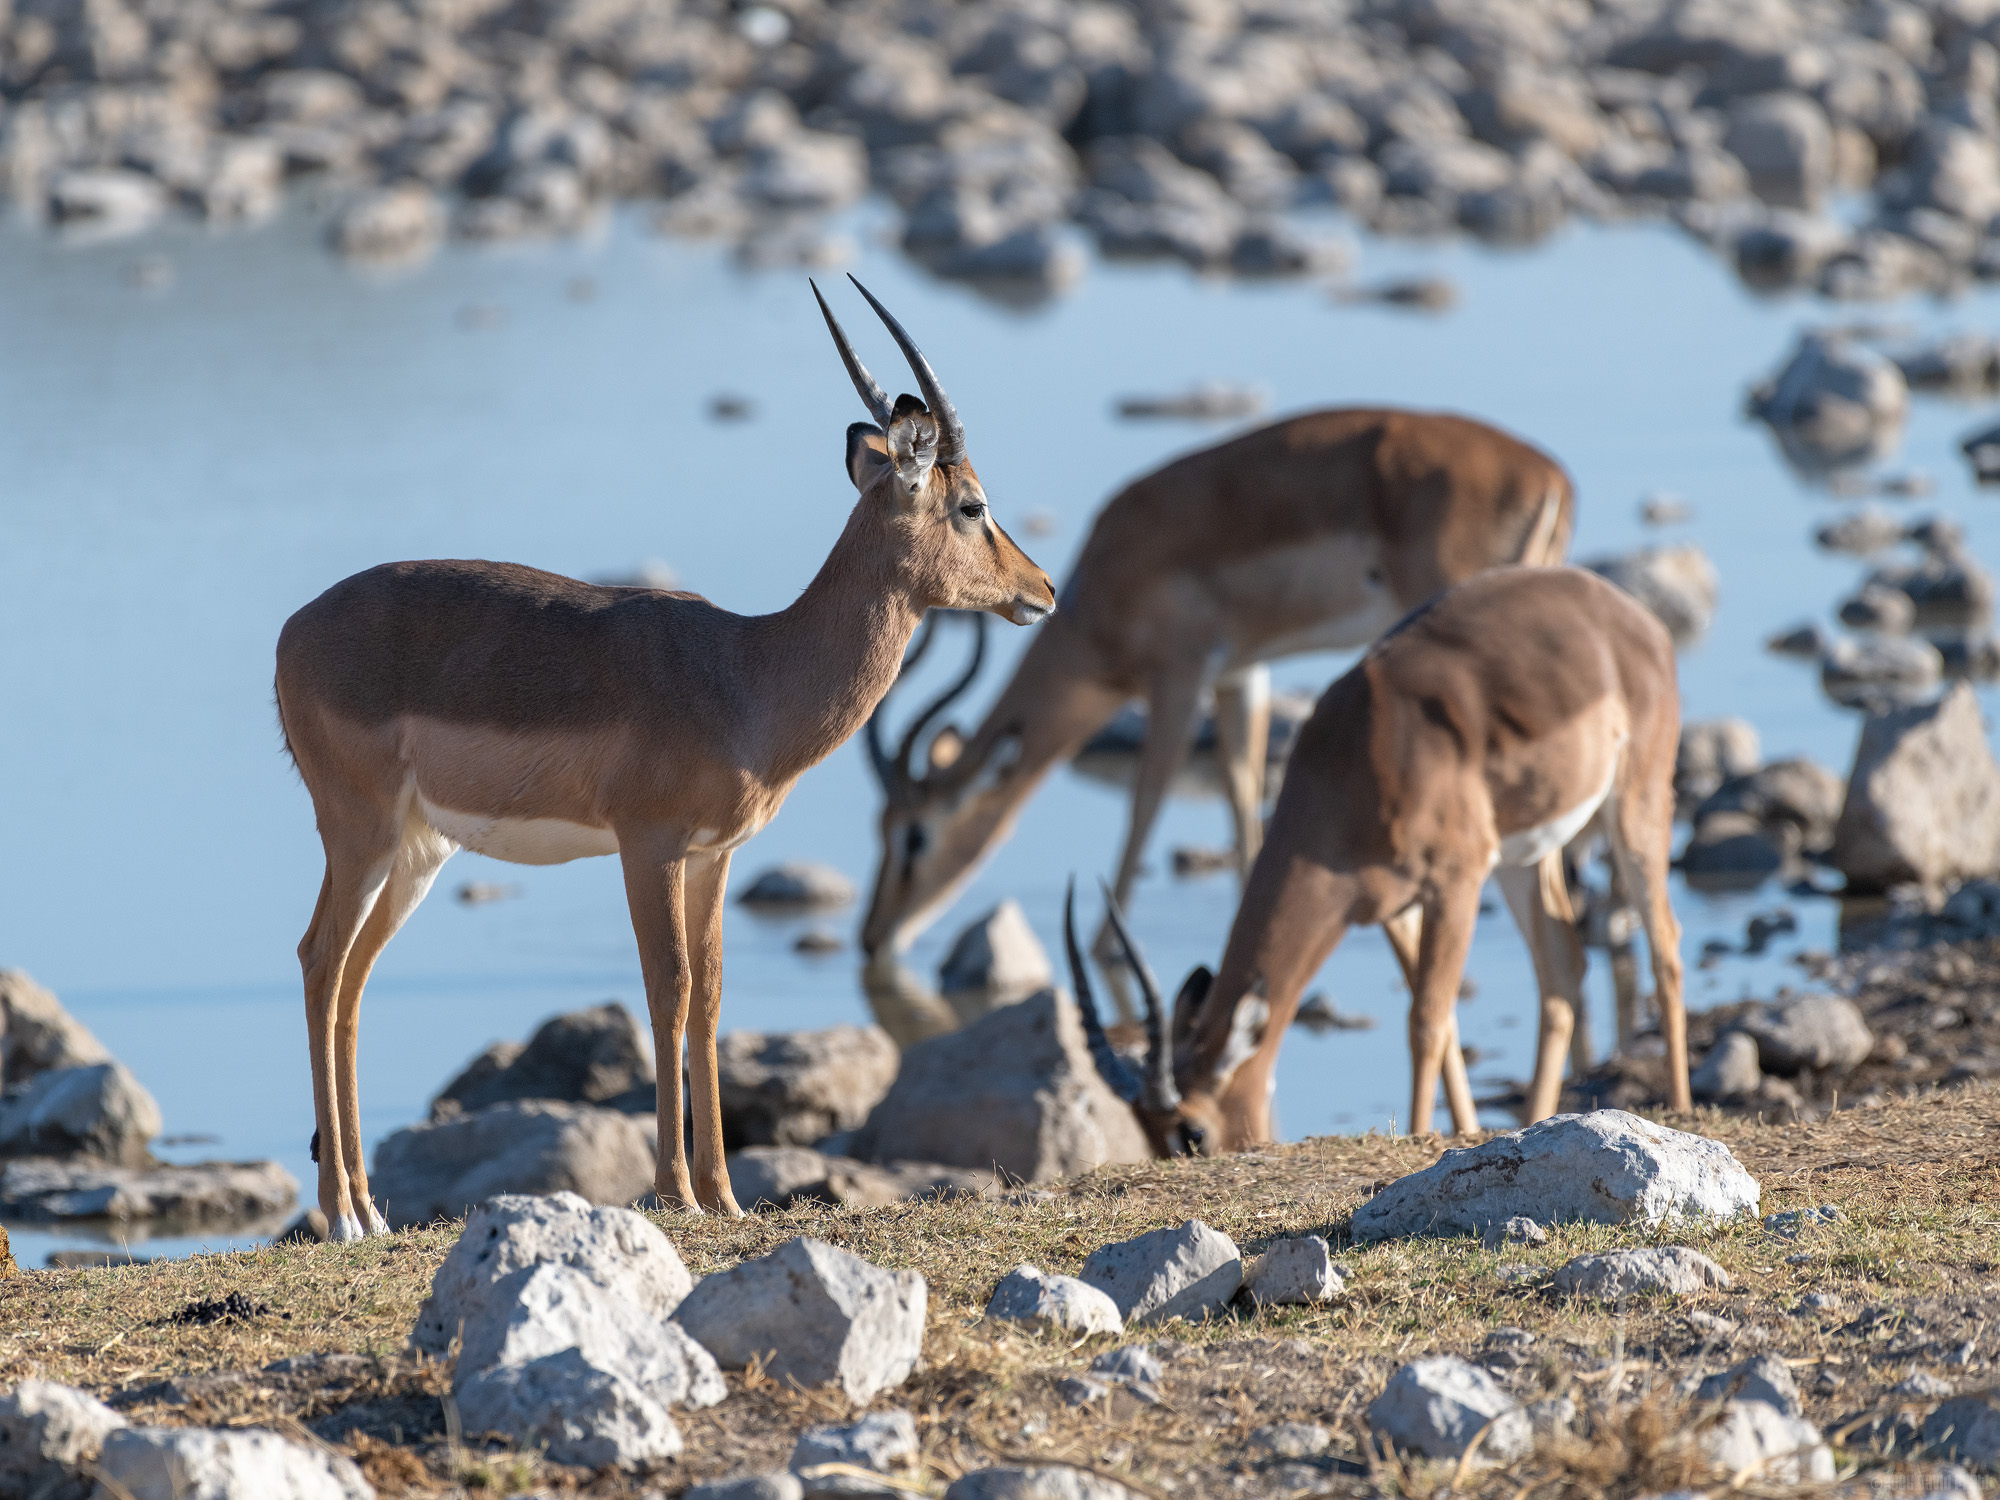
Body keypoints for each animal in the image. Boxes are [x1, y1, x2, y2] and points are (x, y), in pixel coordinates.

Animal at [274, 277, 1055, 1235]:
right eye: (972, 505)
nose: (1042, 589)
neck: (747, 675)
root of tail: (293, 631)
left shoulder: (714, 858)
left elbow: (711, 996)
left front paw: (725, 1197)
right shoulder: (648, 847)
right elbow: (668, 987)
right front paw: (675, 1191)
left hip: (419, 851)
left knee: (352, 979)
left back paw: (370, 1210)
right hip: (362, 833)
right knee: (318, 962)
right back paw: (341, 1215)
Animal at [857, 408, 1575, 966]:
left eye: (915, 835)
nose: (872, 937)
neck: (1113, 573)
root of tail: (1552, 478)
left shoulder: (1178, 678)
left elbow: (1146, 805)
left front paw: (1102, 947)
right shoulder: (1239, 675)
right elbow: (1239, 787)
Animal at [1065, 565, 1690, 1152]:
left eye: (1193, 1131)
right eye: (1148, 1132)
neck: (1358, 755)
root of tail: (1624, 611)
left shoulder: (1456, 883)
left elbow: (1427, 1021)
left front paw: (1418, 1134)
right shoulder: (1390, 907)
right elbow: (1439, 1018)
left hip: (1635, 807)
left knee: (1665, 942)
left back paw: (1681, 1107)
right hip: (1525, 859)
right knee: (1562, 967)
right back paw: (1537, 1117)